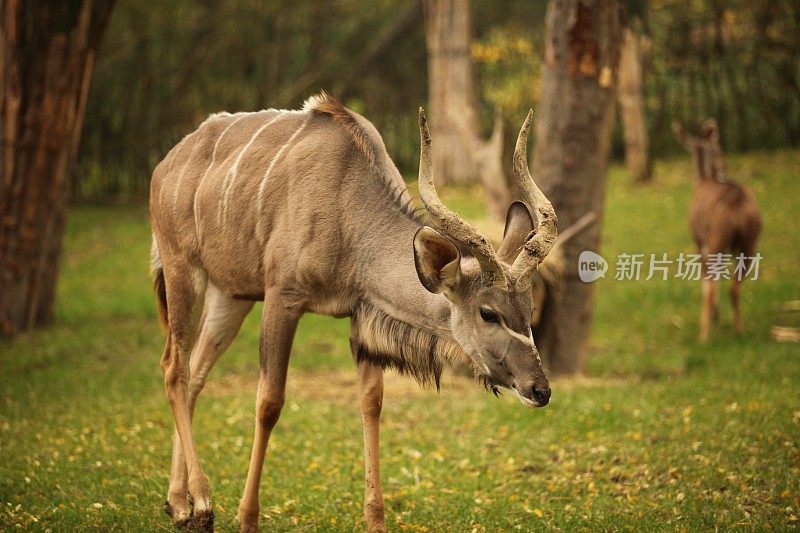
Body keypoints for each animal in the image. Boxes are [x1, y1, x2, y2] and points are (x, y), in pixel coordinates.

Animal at [150, 93, 560, 528]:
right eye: (488, 313)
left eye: (529, 309)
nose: (540, 389)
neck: (349, 213)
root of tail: (165, 166)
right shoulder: (282, 297)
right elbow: (269, 402)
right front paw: (247, 518)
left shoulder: (360, 315)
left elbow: (371, 402)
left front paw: (376, 520)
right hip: (182, 271)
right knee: (174, 368)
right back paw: (198, 505)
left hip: (230, 295)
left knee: (195, 373)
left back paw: (179, 501)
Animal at [672, 119, 760, 342]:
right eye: (719, 150)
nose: (724, 166)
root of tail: (738, 209)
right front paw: (716, 318)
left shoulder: (698, 240)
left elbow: (706, 282)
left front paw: (713, 318)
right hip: (750, 240)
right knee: (734, 286)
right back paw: (739, 330)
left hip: (716, 238)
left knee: (712, 284)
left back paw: (704, 335)